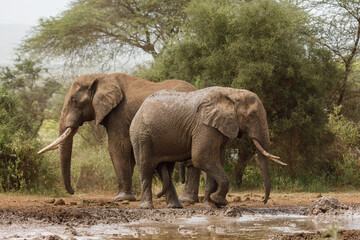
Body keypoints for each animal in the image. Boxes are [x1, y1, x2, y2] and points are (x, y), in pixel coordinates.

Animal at [38, 72, 197, 201]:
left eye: (74, 101)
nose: (73, 191)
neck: (100, 77)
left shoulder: (119, 113)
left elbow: (118, 146)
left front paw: (121, 198)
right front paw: (127, 196)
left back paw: (186, 200)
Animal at [130, 86, 286, 208]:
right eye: (253, 115)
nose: (263, 201)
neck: (232, 93)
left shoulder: (218, 127)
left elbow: (216, 159)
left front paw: (212, 205)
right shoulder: (204, 126)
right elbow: (202, 157)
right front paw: (219, 201)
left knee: (166, 169)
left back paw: (175, 207)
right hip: (141, 136)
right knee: (146, 167)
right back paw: (147, 207)